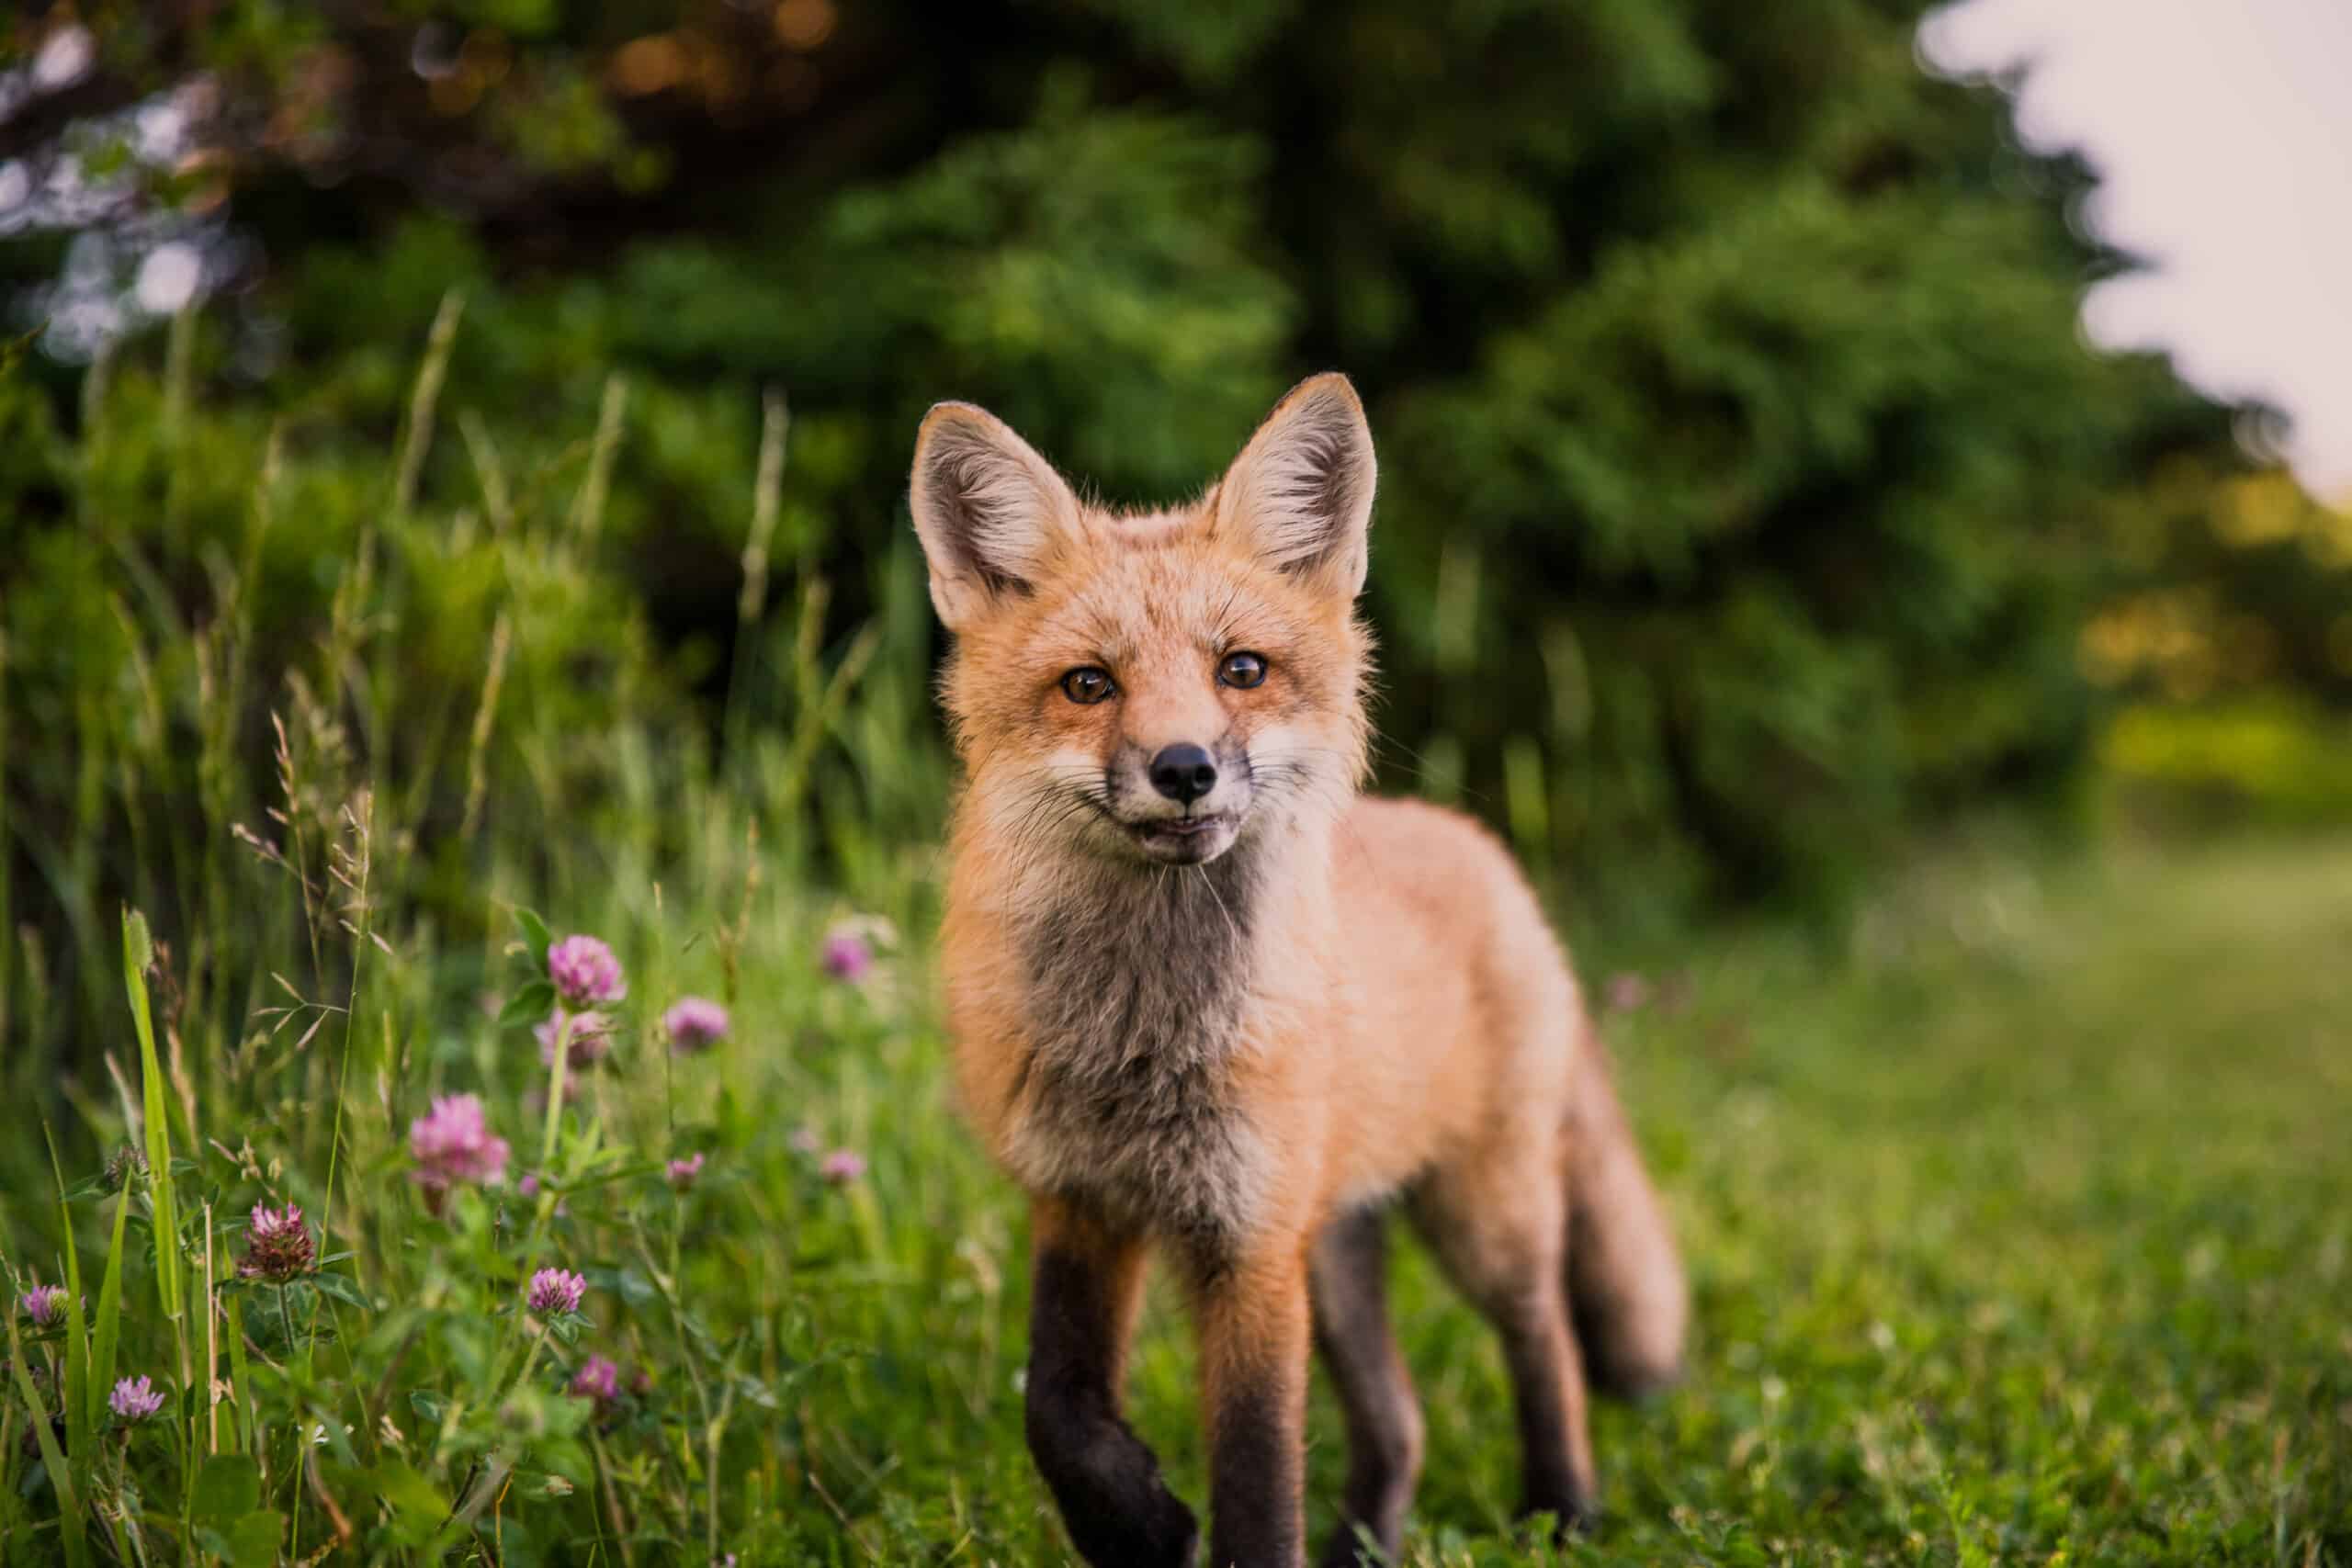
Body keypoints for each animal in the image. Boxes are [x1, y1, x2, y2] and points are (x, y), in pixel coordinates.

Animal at [903, 380, 1693, 1568]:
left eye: (1241, 670)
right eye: (1088, 685)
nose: (1183, 768)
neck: (1145, 1043)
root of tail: (1478, 846)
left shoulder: (1249, 1242)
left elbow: (1257, 1472)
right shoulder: (1081, 1201)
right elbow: (1057, 1407)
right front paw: (1137, 1525)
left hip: (1481, 1217)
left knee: (1545, 1336)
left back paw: (1563, 1511)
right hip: (1338, 1248)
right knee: (1402, 1420)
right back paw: (1369, 1541)